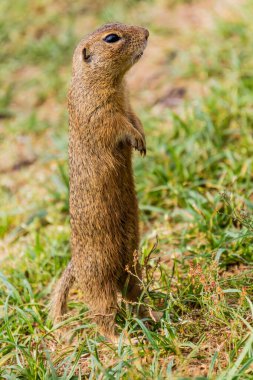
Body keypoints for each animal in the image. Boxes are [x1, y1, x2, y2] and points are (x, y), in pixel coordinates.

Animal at [51, 21, 150, 342]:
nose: (146, 32)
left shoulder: (128, 104)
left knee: (131, 296)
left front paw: (143, 141)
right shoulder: (101, 114)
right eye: (111, 38)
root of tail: (76, 265)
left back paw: (151, 316)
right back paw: (124, 340)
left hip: (132, 266)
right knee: (102, 316)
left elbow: (134, 118)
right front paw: (137, 140)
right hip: (99, 278)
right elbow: (119, 126)